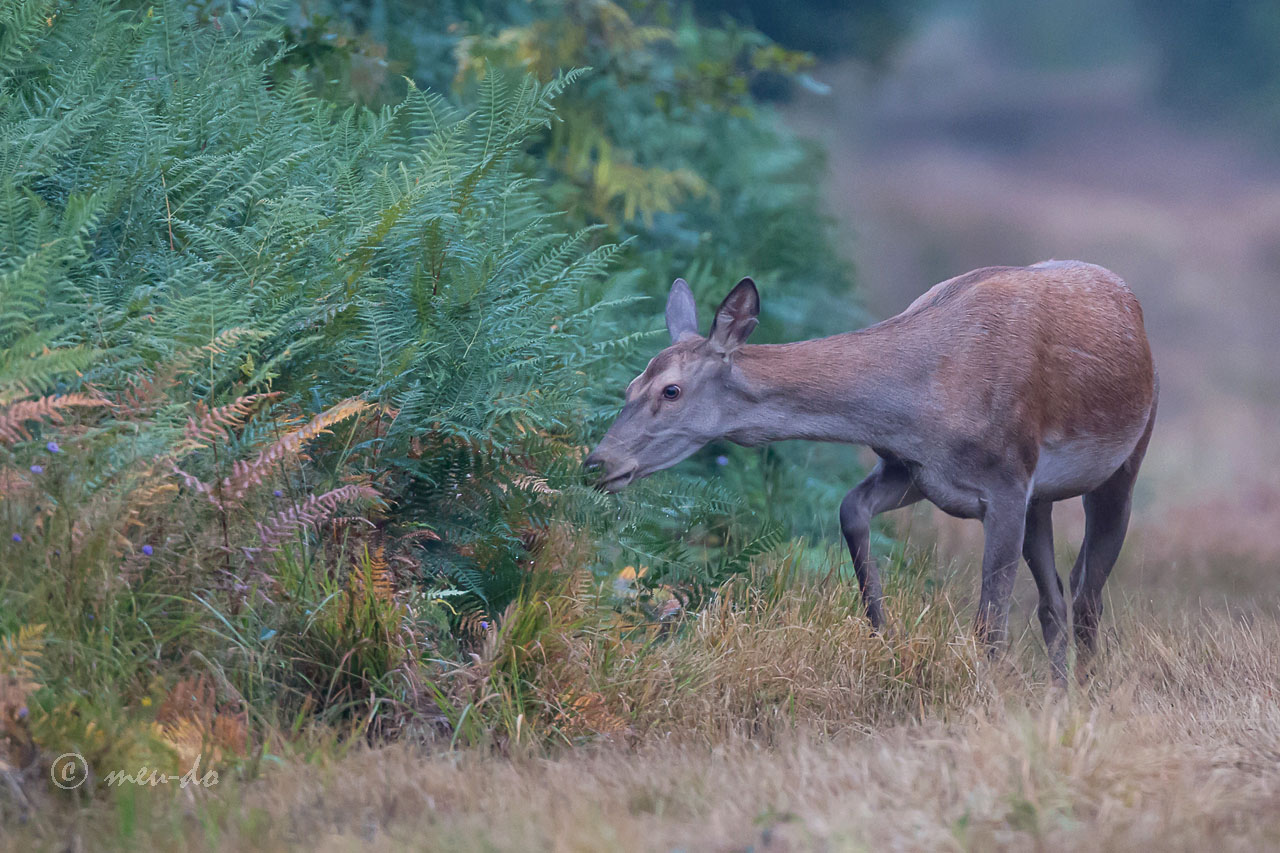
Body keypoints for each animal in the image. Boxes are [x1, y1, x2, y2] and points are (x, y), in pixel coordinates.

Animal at [588, 258, 1162, 676]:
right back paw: (1059, 691)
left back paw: (1086, 689)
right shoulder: (914, 470)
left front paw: (986, 692)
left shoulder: (1005, 480)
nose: (598, 462)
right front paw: (883, 635)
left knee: (1088, 593)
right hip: (1040, 498)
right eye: (630, 386)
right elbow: (850, 510)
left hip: (1126, 458)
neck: (921, 405)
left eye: (671, 390)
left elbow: (990, 620)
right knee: (1055, 598)